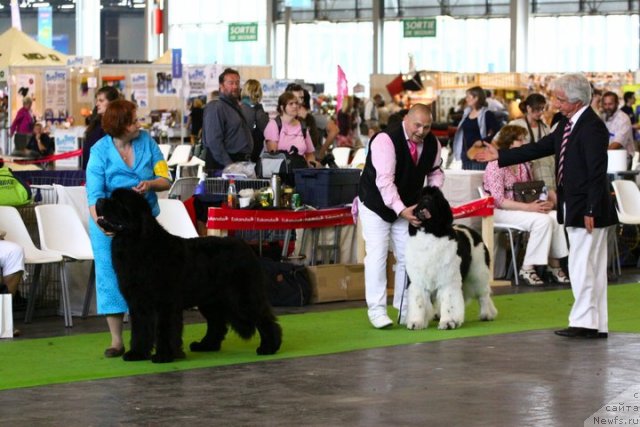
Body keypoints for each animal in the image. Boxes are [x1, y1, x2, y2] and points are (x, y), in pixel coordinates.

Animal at [95, 190, 282, 364]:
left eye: (118, 202)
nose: (99, 200)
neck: (137, 244)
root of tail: (247, 248)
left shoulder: (164, 303)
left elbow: (164, 330)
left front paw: (163, 356)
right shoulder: (138, 303)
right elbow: (140, 329)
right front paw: (137, 353)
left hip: (242, 296)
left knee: (264, 317)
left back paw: (269, 347)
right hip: (210, 300)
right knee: (217, 323)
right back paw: (205, 345)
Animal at [404, 187, 500, 332]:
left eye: (435, 198)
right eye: (421, 196)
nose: (426, 199)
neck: (430, 232)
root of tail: (474, 233)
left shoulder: (448, 279)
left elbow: (449, 301)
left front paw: (448, 322)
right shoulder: (418, 280)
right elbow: (418, 301)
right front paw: (416, 322)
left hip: (478, 272)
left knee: (483, 295)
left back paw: (487, 314)